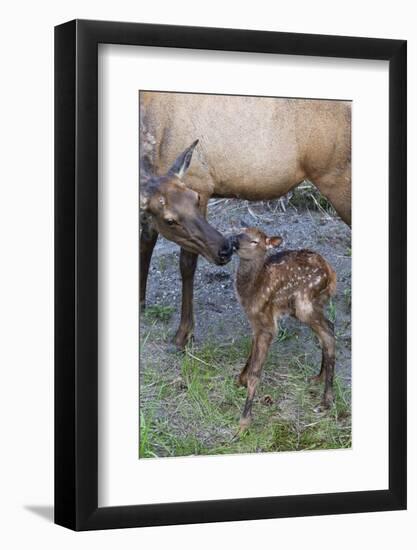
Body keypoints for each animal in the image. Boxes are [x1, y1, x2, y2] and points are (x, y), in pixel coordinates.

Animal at [139, 90, 348, 350]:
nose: (226, 249)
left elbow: (187, 264)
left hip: (337, 179)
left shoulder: (200, 182)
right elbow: (145, 242)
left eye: (194, 198)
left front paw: (183, 334)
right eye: (169, 220)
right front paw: (140, 304)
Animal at [229, 226, 336, 434]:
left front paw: (244, 423)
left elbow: (256, 372)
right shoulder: (255, 322)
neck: (251, 290)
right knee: (329, 328)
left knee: (328, 335)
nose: (233, 242)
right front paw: (240, 379)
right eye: (240, 231)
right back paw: (318, 378)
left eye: (255, 241)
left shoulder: (267, 323)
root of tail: (331, 273)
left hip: (304, 304)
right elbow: (251, 353)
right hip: (307, 306)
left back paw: (325, 402)